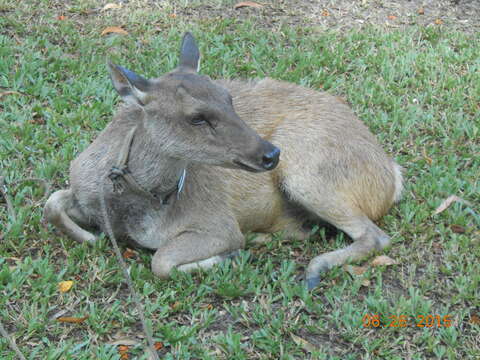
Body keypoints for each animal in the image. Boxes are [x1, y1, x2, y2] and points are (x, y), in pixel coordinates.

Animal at [44, 32, 402, 288]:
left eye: (229, 99)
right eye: (197, 117)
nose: (270, 153)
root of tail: (392, 177)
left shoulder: (218, 224)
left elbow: (161, 262)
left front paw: (227, 257)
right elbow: (52, 203)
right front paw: (91, 237)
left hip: (308, 172)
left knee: (375, 235)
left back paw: (310, 268)